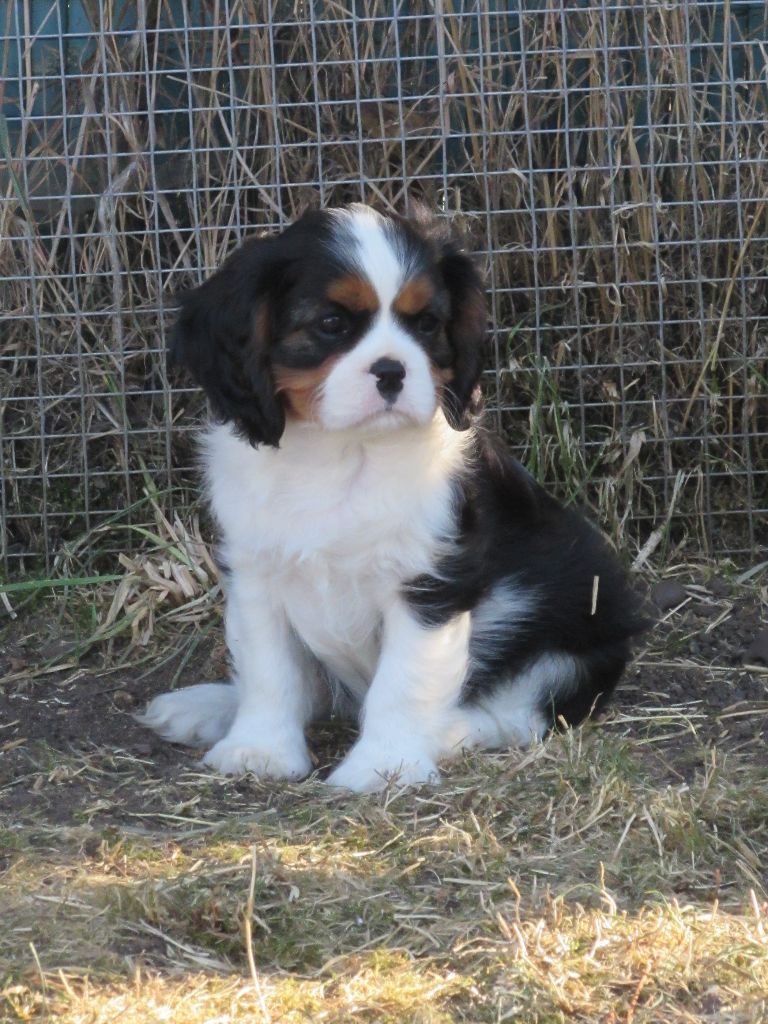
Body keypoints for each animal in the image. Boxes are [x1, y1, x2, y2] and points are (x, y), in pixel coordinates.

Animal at [139, 204, 646, 792]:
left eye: (426, 324)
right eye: (332, 324)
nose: (392, 371)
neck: (342, 451)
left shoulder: (430, 585)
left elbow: (404, 682)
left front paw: (384, 766)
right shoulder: (256, 572)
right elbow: (270, 668)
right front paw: (258, 750)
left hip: (572, 626)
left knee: (522, 711)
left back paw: (450, 732)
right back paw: (207, 707)